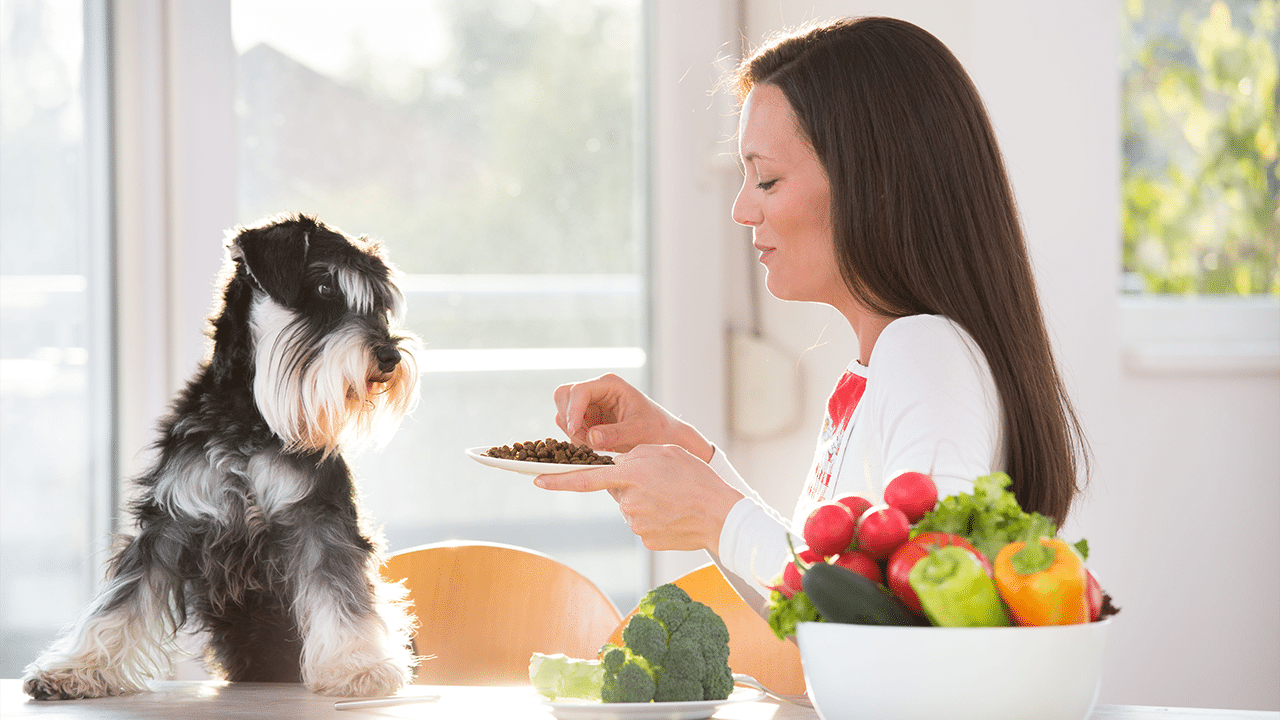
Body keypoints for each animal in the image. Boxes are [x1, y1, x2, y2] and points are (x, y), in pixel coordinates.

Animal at [21, 212, 419, 696]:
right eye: (325, 287)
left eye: (378, 303)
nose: (389, 355)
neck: (248, 420)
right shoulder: (170, 520)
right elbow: (122, 599)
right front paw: (74, 669)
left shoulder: (317, 515)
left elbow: (342, 591)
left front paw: (359, 666)